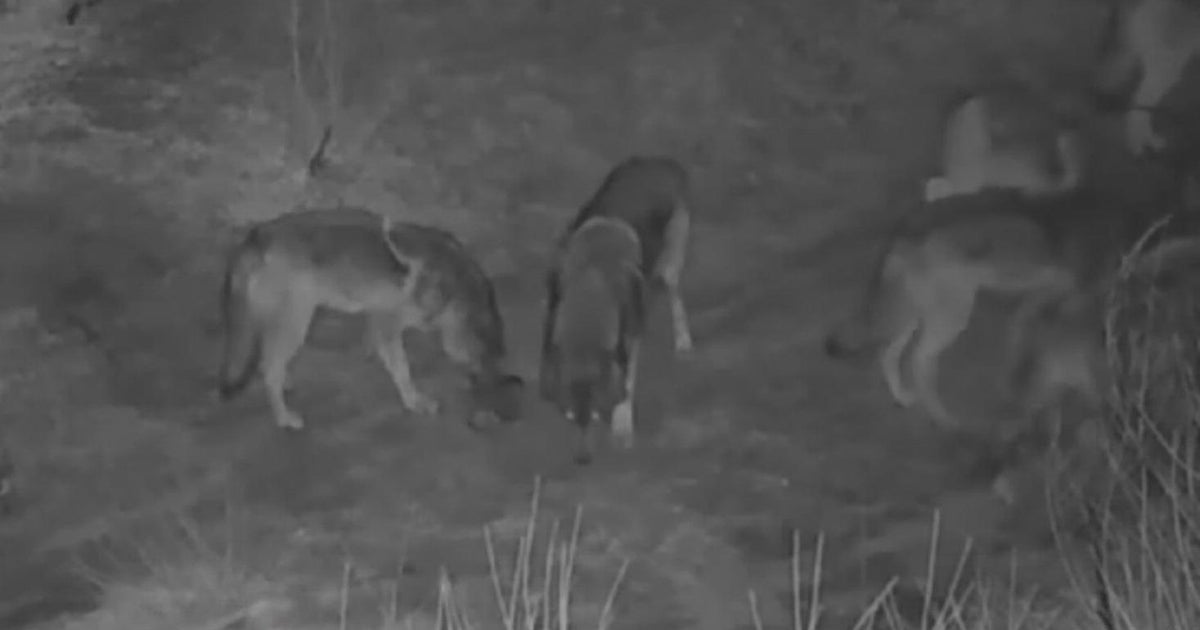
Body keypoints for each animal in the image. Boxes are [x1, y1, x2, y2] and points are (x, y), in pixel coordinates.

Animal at [218, 207, 524, 430]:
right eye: (491, 389)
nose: (507, 418)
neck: (457, 289)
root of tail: (256, 237)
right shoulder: (389, 322)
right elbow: (402, 370)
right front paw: (414, 402)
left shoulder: (377, 317)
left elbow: (375, 344)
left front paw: (369, 354)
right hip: (297, 321)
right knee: (269, 368)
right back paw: (284, 417)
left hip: (283, 320)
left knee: (267, 361)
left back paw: (286, 381)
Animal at [539, 156, 693, 463]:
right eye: (570, 416)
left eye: (597, 416)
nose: (583, 460)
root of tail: (661, 162)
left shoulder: (629, 339)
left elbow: (627, 384)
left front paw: (622, 425)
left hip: (671, 262)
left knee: (674, 296)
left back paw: (683, 339)